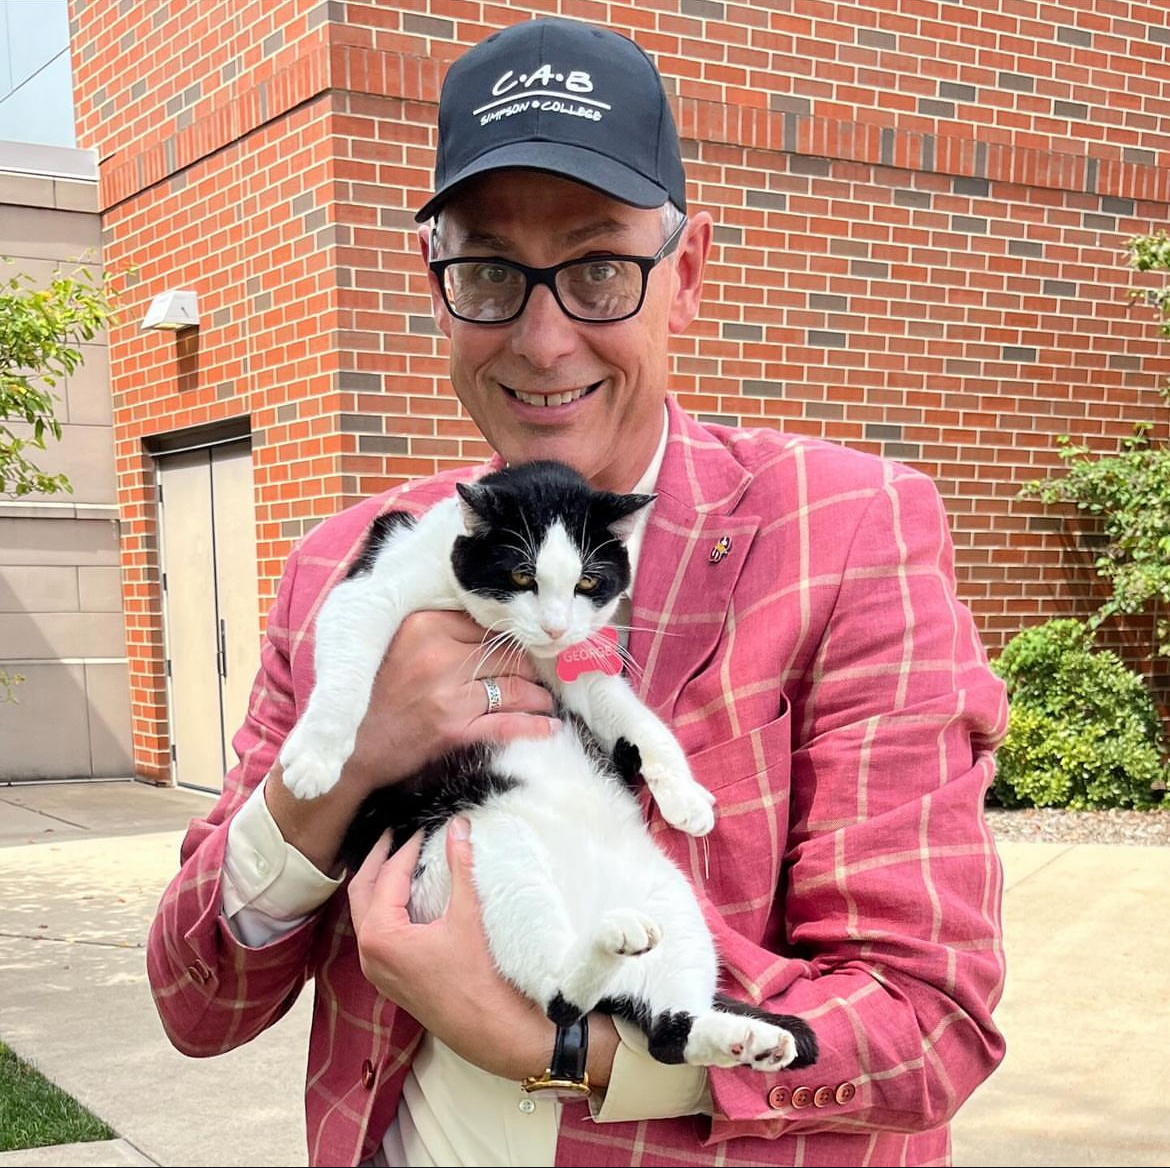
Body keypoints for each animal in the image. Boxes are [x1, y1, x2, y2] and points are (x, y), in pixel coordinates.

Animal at [278, 461, 819, 1072]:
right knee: (561, 997)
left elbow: (630, 714)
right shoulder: (374, 584)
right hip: (490, 855)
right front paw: (317, 756)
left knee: (666, 1033)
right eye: (521, 574)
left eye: (586, 583)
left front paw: (683, 793)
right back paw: (618, 943)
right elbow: (351, 658)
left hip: (672, 900)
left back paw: (747, 1038)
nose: (557, 626)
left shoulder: (570, 664)